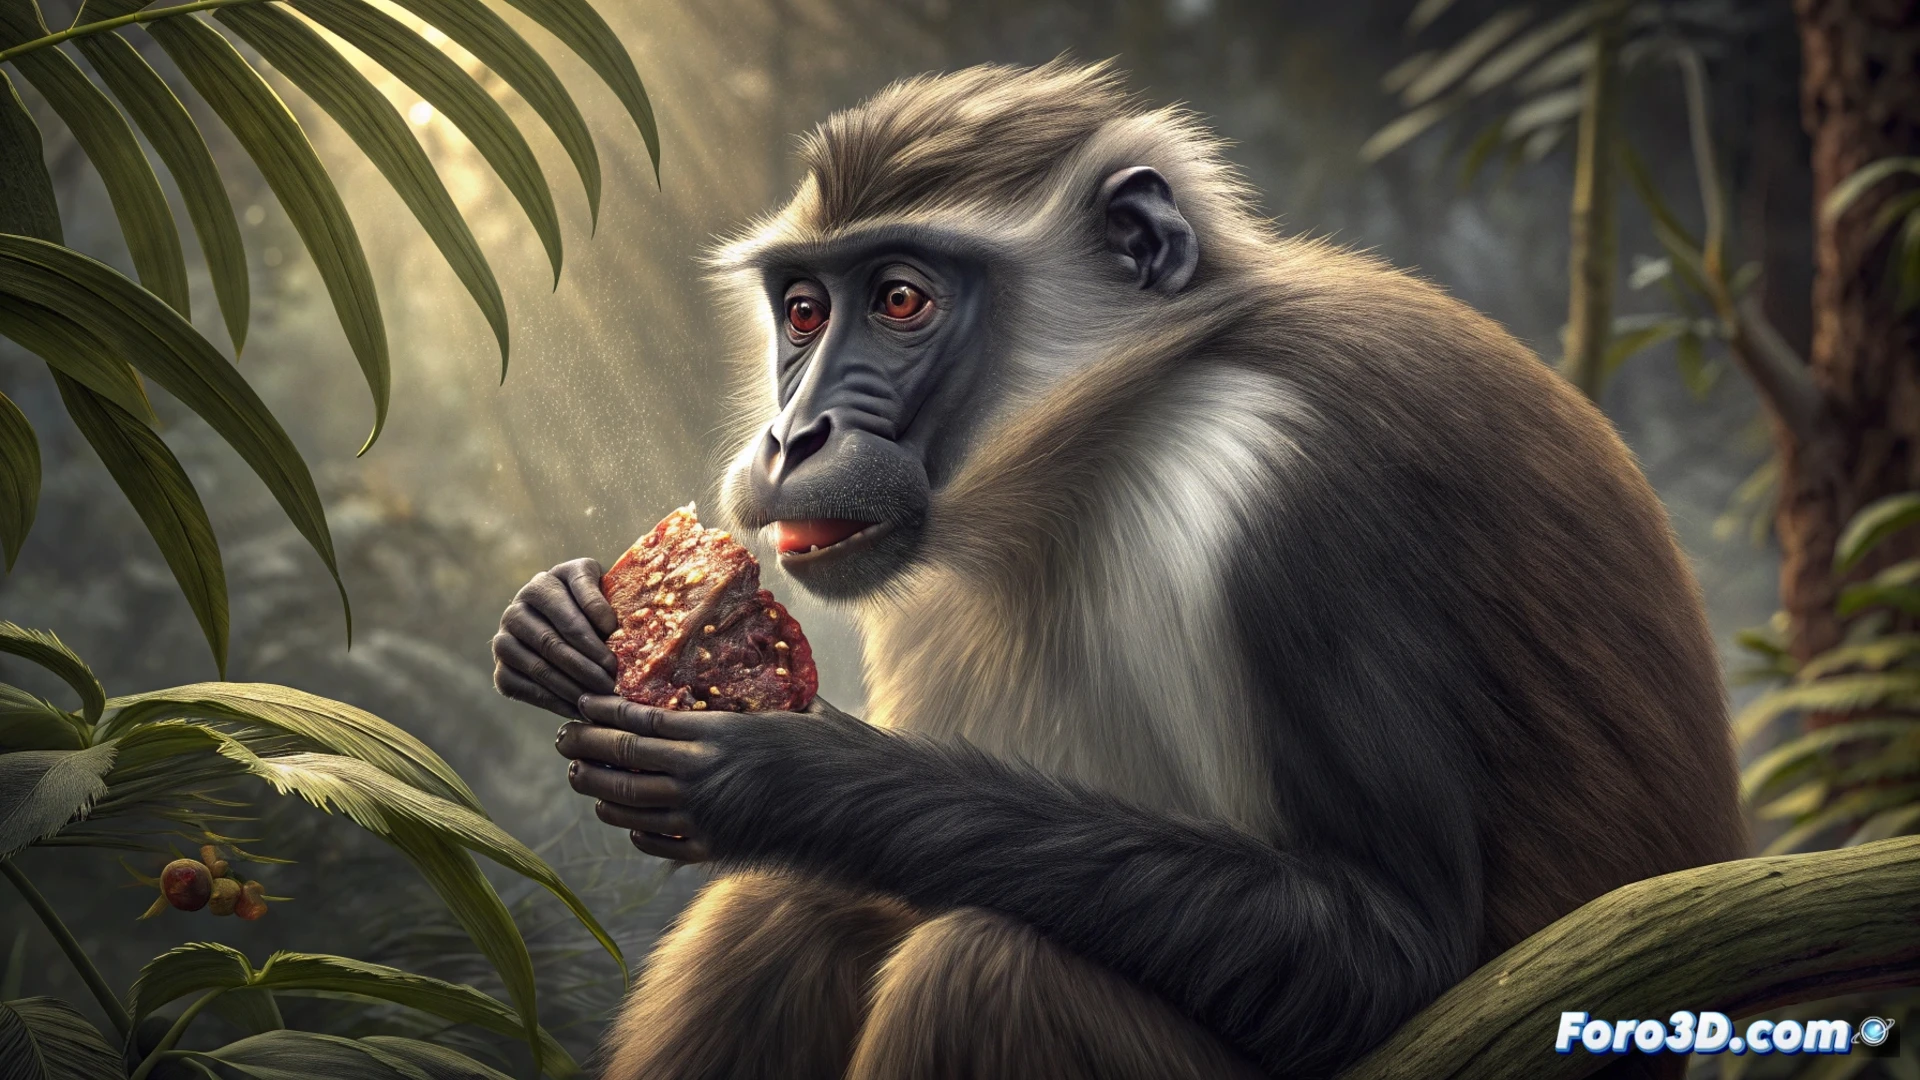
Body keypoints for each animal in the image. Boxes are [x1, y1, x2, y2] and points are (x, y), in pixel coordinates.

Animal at [492, 61, 1747, 1080]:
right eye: (803, 311)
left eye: (900, 300)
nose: (793, 437)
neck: (1132, 416)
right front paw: (558, 620)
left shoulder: (1297, 484)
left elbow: (1388, 942)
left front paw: (789, 781)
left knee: (988, 973)